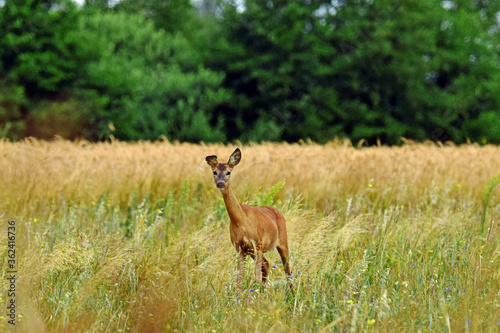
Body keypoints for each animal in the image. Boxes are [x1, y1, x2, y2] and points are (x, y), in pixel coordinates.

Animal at [205, 149, 292, 290]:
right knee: (267, 265)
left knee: (287, 270)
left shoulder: (258, 244)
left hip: (282, 241)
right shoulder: (239, 248)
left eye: (229, 172)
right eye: (214, 172)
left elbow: (255, 278)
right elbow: (239, 281)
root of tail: (278, 211)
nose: (220, 183)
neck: (242, 221)